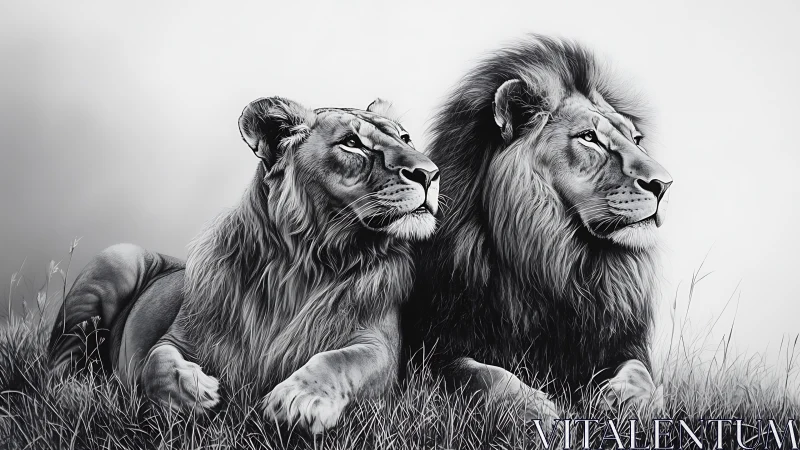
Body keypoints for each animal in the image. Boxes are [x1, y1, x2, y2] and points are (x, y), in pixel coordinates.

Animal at [49, 96, 440, 434]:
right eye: (352, 143)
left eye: (405, 137)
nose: (430, 173)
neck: (306, 264)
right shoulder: (178, 336)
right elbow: (156, 361)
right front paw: (194, 391)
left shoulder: (382, 346)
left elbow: (343, 360)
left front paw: (297, 400)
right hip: (116, 258)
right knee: (58, 364)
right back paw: (78, 397)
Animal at [402, 35, 671, 421]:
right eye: (589, 137)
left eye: (636, 139)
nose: (665, 184)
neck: (559, 264)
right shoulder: (431, 350)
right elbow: (479, 373)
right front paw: (534, 407)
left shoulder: (620, 343)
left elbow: (640, 374)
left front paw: (626, 401)